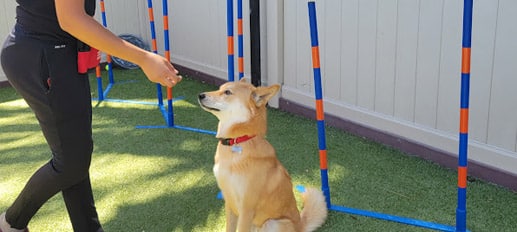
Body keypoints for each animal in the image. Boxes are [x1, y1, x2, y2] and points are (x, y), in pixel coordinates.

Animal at [198, 79, 326, 231]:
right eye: (219, 88)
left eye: (227, 92)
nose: (200, 95)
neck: (239, 140)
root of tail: (300, 226)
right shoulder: (229, 202)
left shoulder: (247, 209)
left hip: (273, 223)